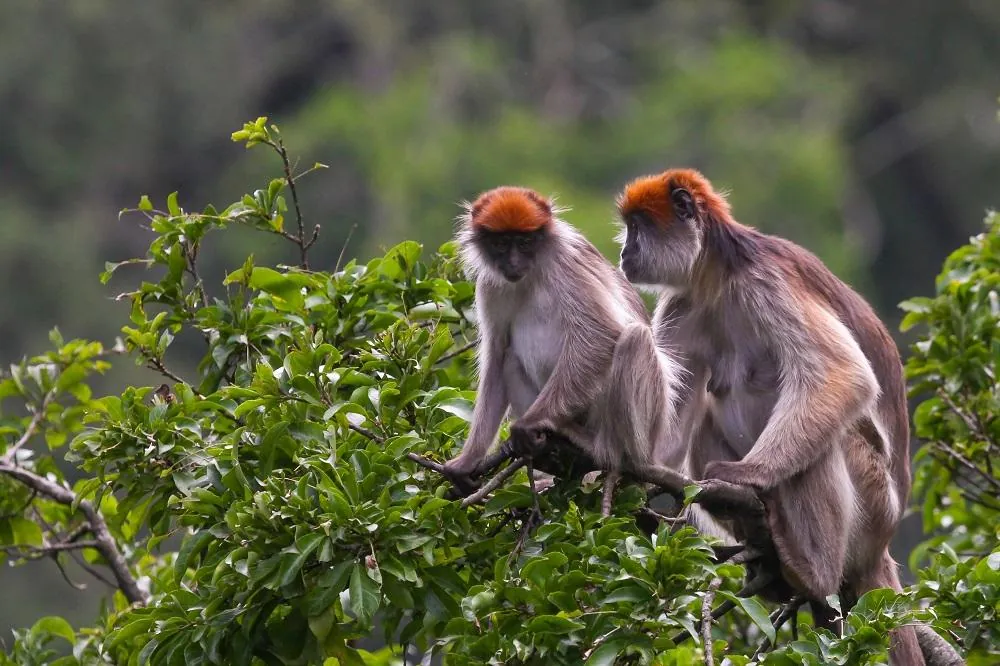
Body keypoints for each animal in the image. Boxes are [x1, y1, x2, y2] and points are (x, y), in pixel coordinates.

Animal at [441, 185, 687, 500]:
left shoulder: (565, 260)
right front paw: (468, 461)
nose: (513, 263)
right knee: (509, 357)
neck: (531, 273)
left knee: (635, 338)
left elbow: (600, 334)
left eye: (525, 242)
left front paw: (529, 424)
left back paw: (611, 452)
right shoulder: (491, 284)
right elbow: (496, 353)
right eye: (502, 243)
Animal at [615, 169, 925, 664]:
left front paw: (749, 475)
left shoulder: (766, 280)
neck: (717, 279)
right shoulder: (684, 306)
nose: (625, 252)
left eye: (638, 228)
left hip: (874, 501)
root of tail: (885, 540)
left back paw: (813, 569)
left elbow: (844, 375)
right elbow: (673, 429)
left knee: (830, 440)